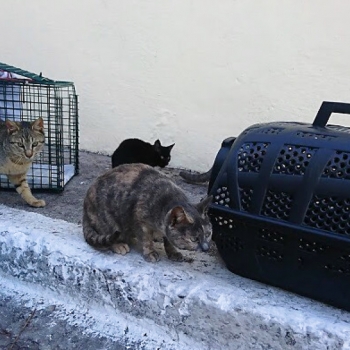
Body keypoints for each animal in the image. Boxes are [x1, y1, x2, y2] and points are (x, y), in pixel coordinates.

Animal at [83, 163, 212, 262]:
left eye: (208, 234)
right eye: (194, 239)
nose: (206, 248)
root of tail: (85, 208)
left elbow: (168, 240)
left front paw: (173, 252)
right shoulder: (140, 221)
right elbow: (146, 239)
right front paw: (150, 252)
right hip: (109, 219)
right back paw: (119, 245)